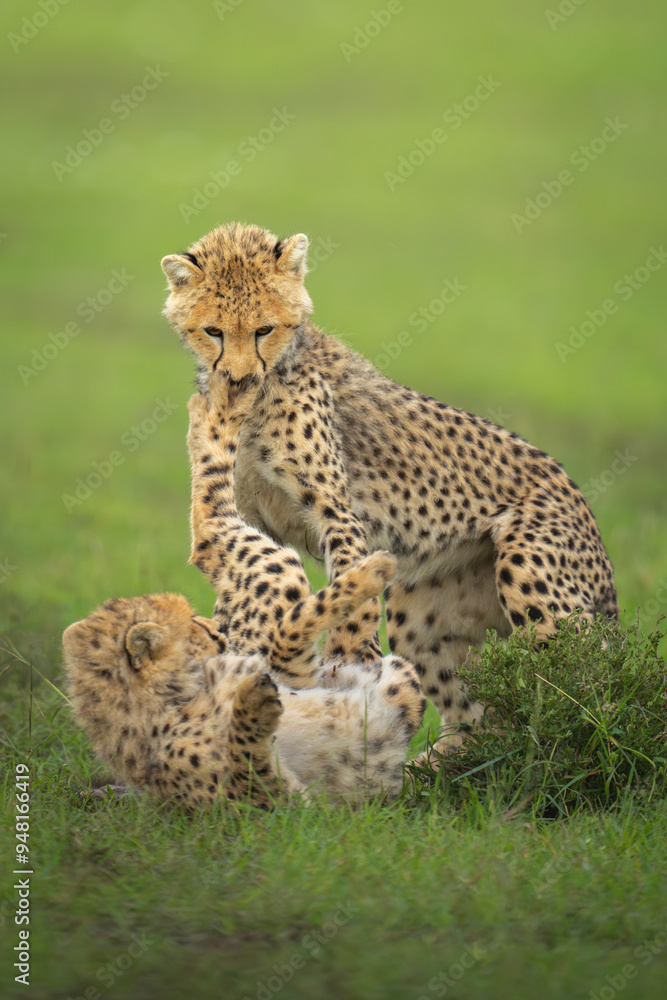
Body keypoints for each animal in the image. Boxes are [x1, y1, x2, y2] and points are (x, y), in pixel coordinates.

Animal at [161, 221, 619, 757]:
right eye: (213, 331)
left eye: (264, 330)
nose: (238, 377)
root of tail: (579, 496)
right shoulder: (249, 519)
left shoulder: (336, 513)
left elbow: (347, 601)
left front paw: (345, 667)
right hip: (422, 610)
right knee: (475, 719)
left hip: (533, 583)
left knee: (591, 687)